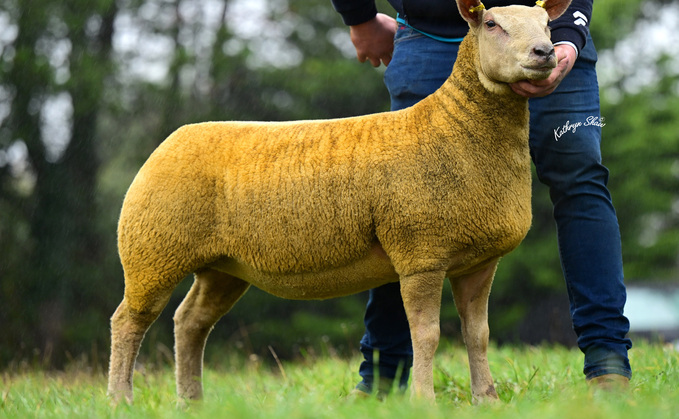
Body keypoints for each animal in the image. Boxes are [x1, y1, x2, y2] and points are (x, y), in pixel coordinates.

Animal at [107, 0, 572, 404]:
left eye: (547, 24)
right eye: (491, 24)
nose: (545, 52)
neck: (454, 126)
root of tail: (173, 138)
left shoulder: (479, 259)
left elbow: (478, 334)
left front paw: (487, 400)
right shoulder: (420, 254)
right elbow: (427, 335)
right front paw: (425, 401)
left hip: (222, 265)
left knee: (190, 323)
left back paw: (191, 401)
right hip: (154, 249)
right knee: (128, 321)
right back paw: (120, 399)